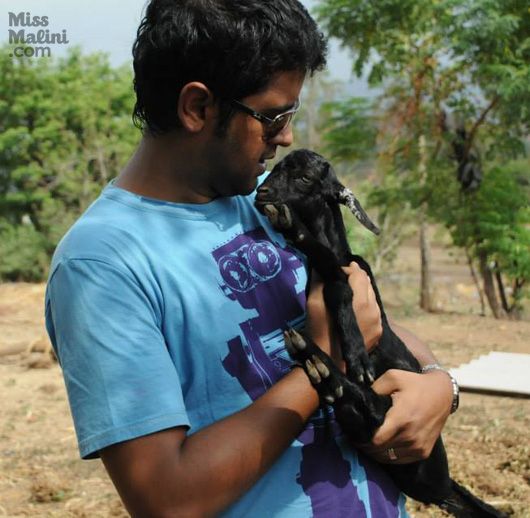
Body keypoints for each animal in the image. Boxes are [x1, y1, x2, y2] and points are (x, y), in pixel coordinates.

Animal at [255, 149, 504, 518]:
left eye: (303, 178)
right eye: (275, 169)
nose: (262, 194)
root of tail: (444, 488)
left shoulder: (355, 272)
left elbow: (338, 284)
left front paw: (357, 354)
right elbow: (335, 282)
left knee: (373, 406)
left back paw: (319, 362)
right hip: (364, 431)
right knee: (361, 409)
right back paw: (316, 364)